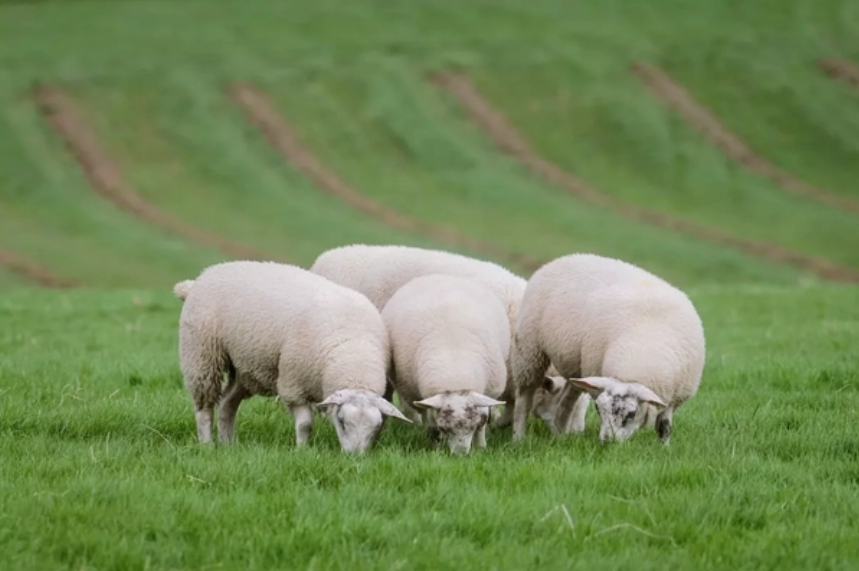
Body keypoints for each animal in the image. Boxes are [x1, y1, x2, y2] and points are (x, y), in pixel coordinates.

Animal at [174, 260, 411, 454]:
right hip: (201, 354)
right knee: (204, 407)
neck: (353, 351)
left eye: (376, 427)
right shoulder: (292, 383)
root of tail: (202, 277)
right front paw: (302, 450)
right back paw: (207, 444)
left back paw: (227, 444)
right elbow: (305, 423)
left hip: (245, 366)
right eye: (342, 422)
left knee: (227, 403)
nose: (355, 458)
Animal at [380, 273, 508, 454]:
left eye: (472, 426)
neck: (454, 371)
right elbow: (432, 425)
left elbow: (483, 420)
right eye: (444, 428)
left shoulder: (486, 392)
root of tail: (437, 275)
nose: (460, 455)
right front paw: (435, 447)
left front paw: (481, 447)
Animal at [511, 253, 706, 444]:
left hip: (577, 366)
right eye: (598, 409)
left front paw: (663, 448)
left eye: (631, 414)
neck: (643, 345)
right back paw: (519, 437)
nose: (607, 442)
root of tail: (564, 258)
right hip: (530, 349)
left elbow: (664, 427)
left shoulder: (673, 399)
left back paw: (560, 434)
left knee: (566, 400)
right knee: (525, 396)